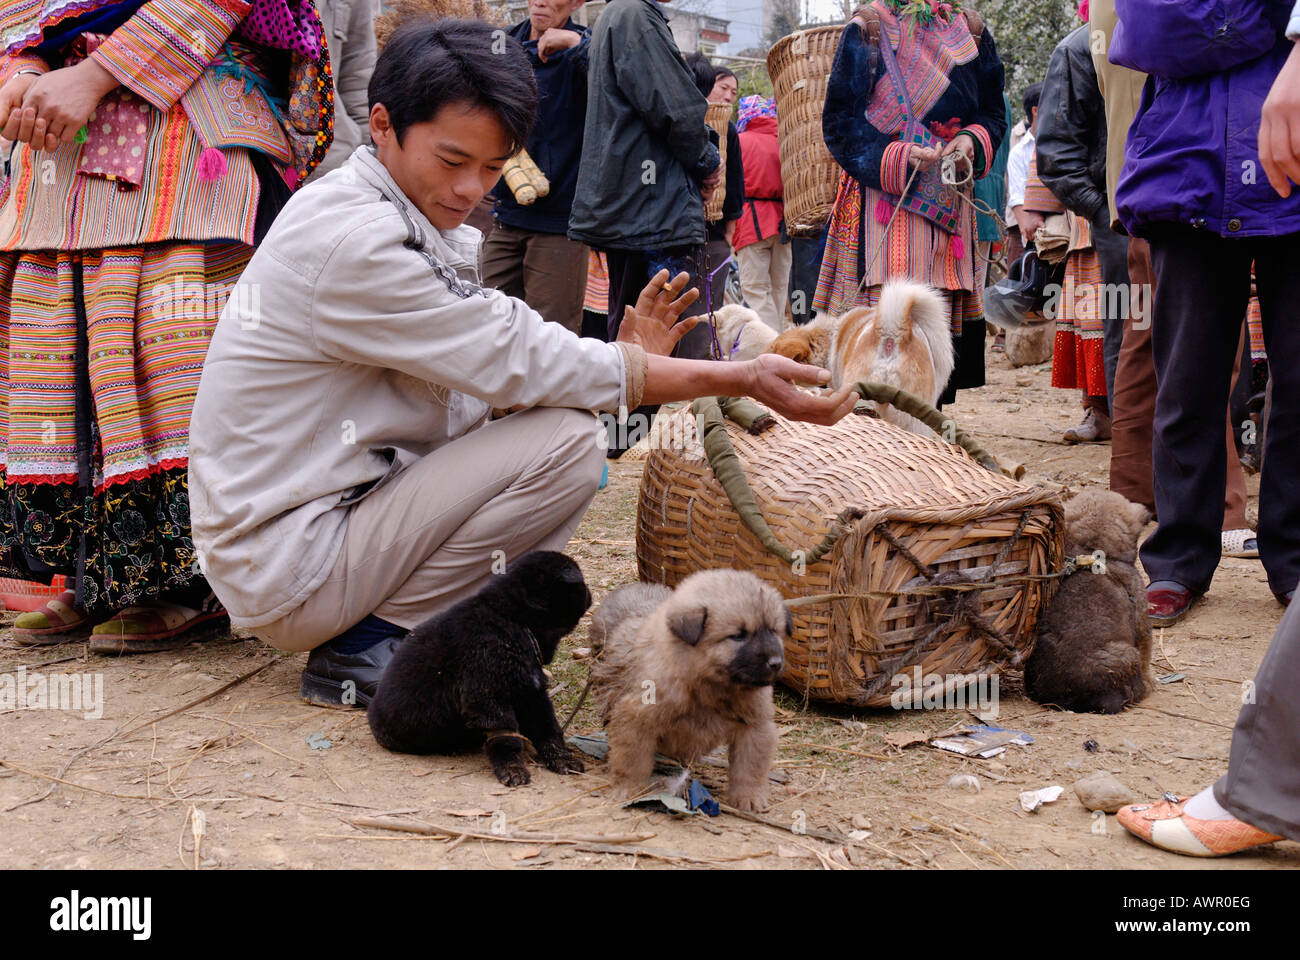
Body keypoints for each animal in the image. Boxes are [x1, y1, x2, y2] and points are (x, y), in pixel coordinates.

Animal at [366, 548, 590, 780]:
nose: (590, 594)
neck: (511, 618)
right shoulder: (488, 698)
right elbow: (506, 737)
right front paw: (512, 768)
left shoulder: (531, 691)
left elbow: (548, 728)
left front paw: (562, 758)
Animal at [592, 567, 790, 806]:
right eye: (737, 636)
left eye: (773, 631)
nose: (775, 663)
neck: (707, 684)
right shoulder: (636, 717)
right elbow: (632, 759)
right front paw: (628, 788)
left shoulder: (755, 725)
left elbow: (750, 767)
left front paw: (749, 797)